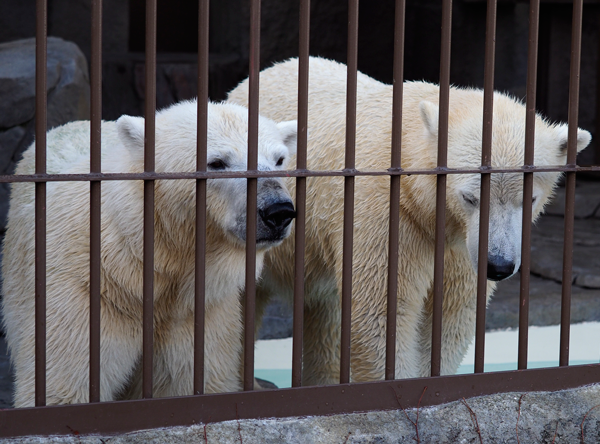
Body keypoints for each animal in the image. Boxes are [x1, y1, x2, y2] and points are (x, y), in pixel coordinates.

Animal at [1, 99, 298, 406]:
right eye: (217, 162)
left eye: (279, 159)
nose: (278, 211)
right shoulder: (87, 292)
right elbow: (65, 385)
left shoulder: (197, 309)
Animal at [229, 57, 592, 386]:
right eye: (470, 197)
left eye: (529, 199)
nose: (499, 265)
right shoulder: (387, 215)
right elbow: (382, 313)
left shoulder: (461, 246)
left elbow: (451, 314)